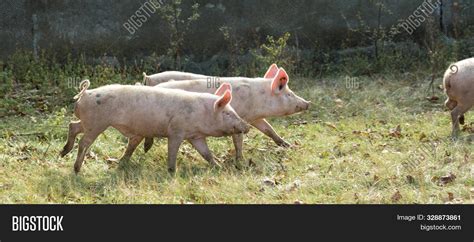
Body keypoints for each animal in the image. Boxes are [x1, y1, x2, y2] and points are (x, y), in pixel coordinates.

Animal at [60, 81, 248, 174]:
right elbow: (172, 151)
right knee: (84, 142)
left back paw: (63, 153)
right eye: (228, 113)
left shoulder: (196, 136)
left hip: (89, 122)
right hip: (97, 123)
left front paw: (218, 167)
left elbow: (206, 153)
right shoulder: (176, 131)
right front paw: (172, 172)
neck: (201, 113)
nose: (246, 127)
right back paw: (76, 169)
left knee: (73, 126)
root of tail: (86, 93)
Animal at [143, 65, 310, 162]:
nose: (308, 103)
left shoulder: (255, 118)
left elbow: (269, 129)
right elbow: (238, 140)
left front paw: (288, 145)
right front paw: (240, 161)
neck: (258, 98)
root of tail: (148, 80)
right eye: (290, 94)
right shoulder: (240, 117)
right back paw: (146, 149)